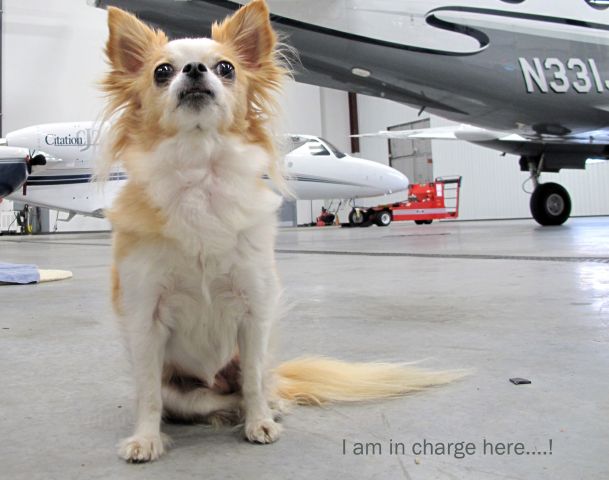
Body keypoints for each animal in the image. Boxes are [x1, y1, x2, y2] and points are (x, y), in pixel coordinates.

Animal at [98, 0, 460, 464]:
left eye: (226, 67)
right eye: (162, 71)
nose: (196, 69)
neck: (200, 174)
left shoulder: (254, 313)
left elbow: (252, 380)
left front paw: (260, 424)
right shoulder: (146, 319)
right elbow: (147, 394)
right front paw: (145, 439)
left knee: (256, 386)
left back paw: (270, 408)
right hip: (183, 389)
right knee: (202, 401)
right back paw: (222, 413)